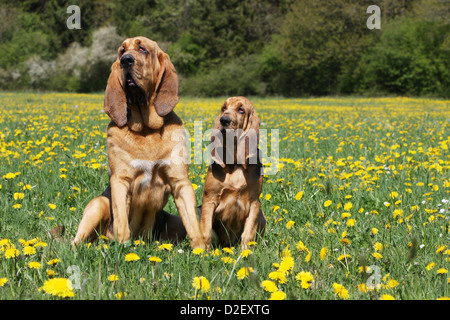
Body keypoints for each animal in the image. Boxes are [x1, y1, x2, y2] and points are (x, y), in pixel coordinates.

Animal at [72, 37, 206, 250]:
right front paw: (123, 248)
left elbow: (194, 225)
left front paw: (203, 252)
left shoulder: (180, 183)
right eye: (121, 51)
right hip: (98, 203)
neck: (146, 130)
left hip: (173, 221)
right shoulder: (120, 181)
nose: (126, 60)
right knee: (76, 241)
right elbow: (121, 223)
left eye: (142, 49)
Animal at [200, 96, 266, 249]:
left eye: (241, 110)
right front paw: (204, 253)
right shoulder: (209, 199)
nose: (223, 120)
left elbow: (248, 234)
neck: (236, 165)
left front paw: (245, 252)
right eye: (223, 108)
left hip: (261, 214)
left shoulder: (255, 202)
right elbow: (206, 231)